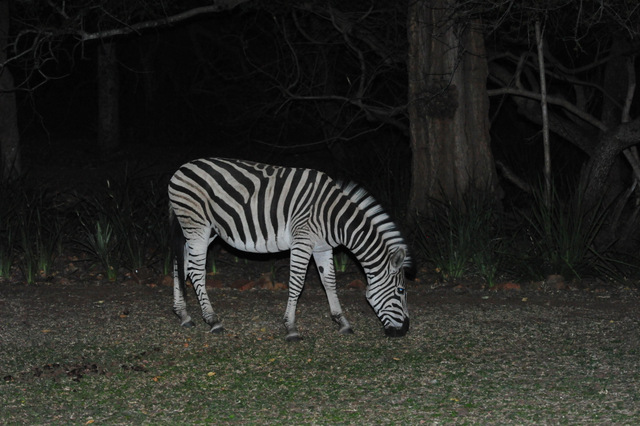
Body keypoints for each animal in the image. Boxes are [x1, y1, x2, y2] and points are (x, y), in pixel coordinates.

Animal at [168, 157, 410, 341]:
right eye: (401, 291)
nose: (404, 330)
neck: (335, 218)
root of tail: (180, 169)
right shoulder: (302, 241)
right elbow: (297, 283)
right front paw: (291, 327)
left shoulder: (322, 248)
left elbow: (329, 282)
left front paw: (341, 321)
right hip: (197, 226)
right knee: (196, 271)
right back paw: (212, 320)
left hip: (204, 230)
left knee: (181, 265)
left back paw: (184, 315)